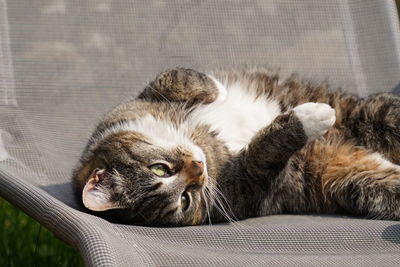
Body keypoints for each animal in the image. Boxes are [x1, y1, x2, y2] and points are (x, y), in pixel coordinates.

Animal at [71, 66, 400, 226]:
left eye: (159, 169)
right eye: (185, 200)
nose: (199, 167)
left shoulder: (139, 100)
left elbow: (178, 77)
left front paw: (219, 91)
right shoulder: (247, 188)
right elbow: (264, 153)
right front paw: (308, 119)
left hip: (375, 114)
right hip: (362, 183)